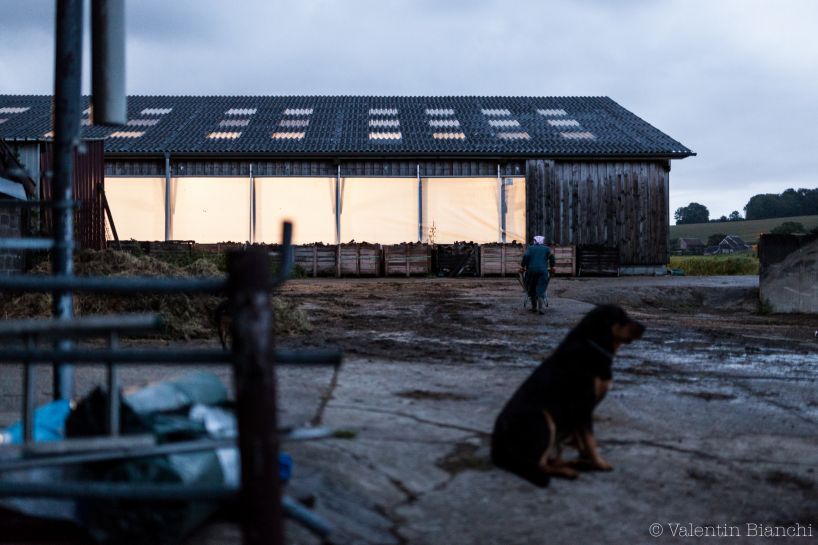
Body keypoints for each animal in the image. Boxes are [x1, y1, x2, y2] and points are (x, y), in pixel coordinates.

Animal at [490, 304, 644, 486]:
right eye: (621, 318)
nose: (644, 327)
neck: (593, 344)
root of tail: (496, 447)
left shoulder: (578, 412)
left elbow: (581, 440)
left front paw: (587, 458)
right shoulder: (583, 406)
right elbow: (590, 440)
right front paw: (599, 463)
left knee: (549, 460)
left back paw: (575, 464)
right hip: (544, 419)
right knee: (539, 464)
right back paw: (568, 471)